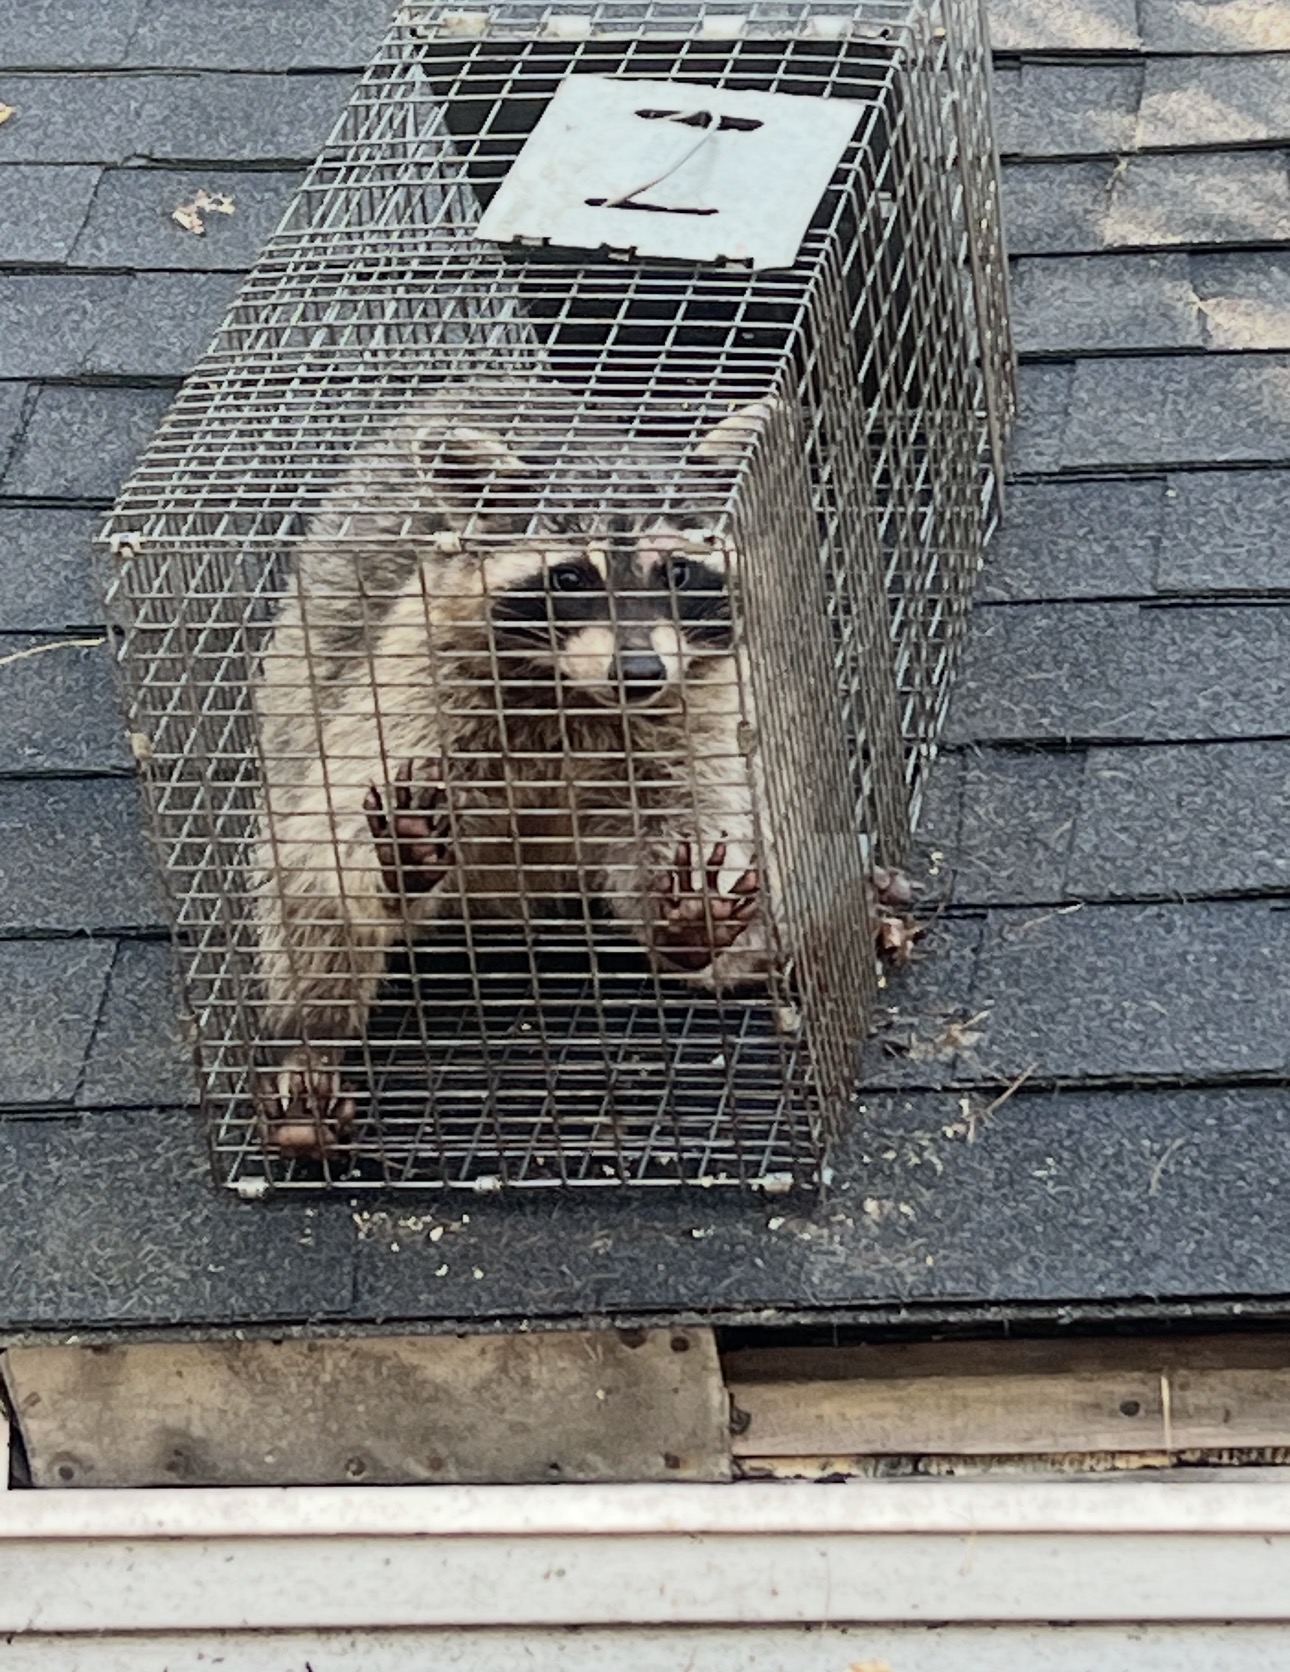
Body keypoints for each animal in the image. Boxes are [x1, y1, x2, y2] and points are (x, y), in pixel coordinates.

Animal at [251, 378, 781, 1155]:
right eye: (571, 576)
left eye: (677, 570)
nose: (639, 672)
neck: (576, 694)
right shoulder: (420, 679)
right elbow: (330, 835)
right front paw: (397, 860)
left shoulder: (698, 706)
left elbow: (689, 816)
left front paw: (685, 922)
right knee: (306, 897)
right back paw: (310, 1040)